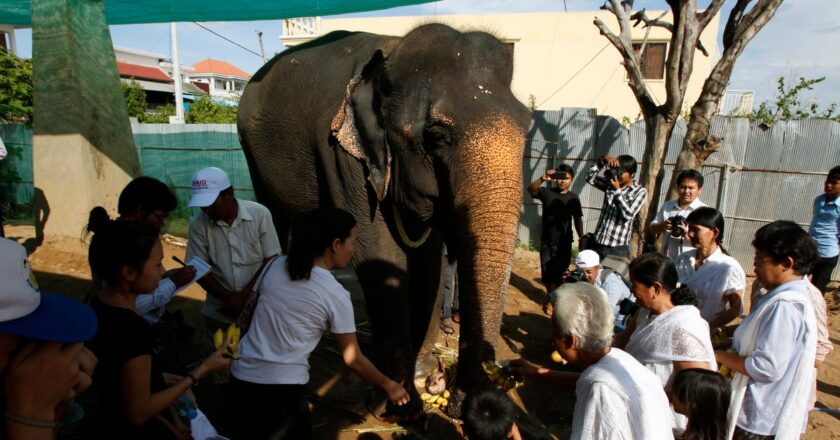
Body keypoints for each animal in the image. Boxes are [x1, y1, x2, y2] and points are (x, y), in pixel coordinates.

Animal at [236, 23, 528, 416]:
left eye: (528, 125)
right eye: (437, 137)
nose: (466, 403)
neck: (392, 51)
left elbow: (429, 264)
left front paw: (421, 379)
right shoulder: (343, 155)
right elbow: (379, 259)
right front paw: (402, 404)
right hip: (252, 154)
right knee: (280, 223)